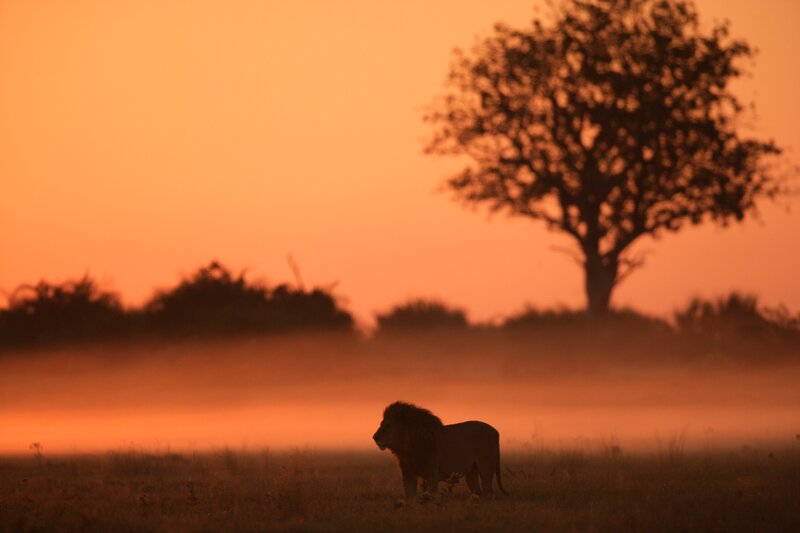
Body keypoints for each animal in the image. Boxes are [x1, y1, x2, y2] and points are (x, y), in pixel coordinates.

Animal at [372, 401, 506, 498]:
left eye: (388, 425)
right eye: (381, 424)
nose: (375, 437)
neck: (408, 448)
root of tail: (496, 431)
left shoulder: (433, 474)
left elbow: (429, 496)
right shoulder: (408, 474)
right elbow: (411, 497)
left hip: (486, 468)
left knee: (489, 492)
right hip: (471, 472)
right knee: (477, 492)